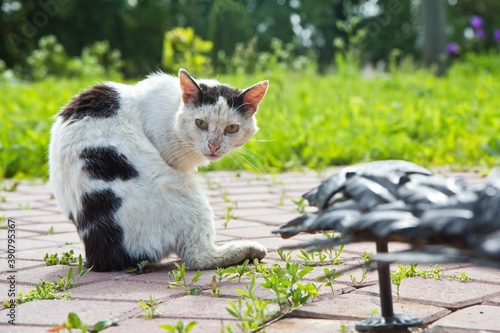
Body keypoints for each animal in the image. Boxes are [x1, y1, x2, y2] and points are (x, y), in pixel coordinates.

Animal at [49, 68, 270, 272]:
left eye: (232, 128)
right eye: (200, 123)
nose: (214, 146)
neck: (173, 111)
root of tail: (101, 254)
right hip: (185, 194)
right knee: (200, 257)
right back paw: (248, 250)